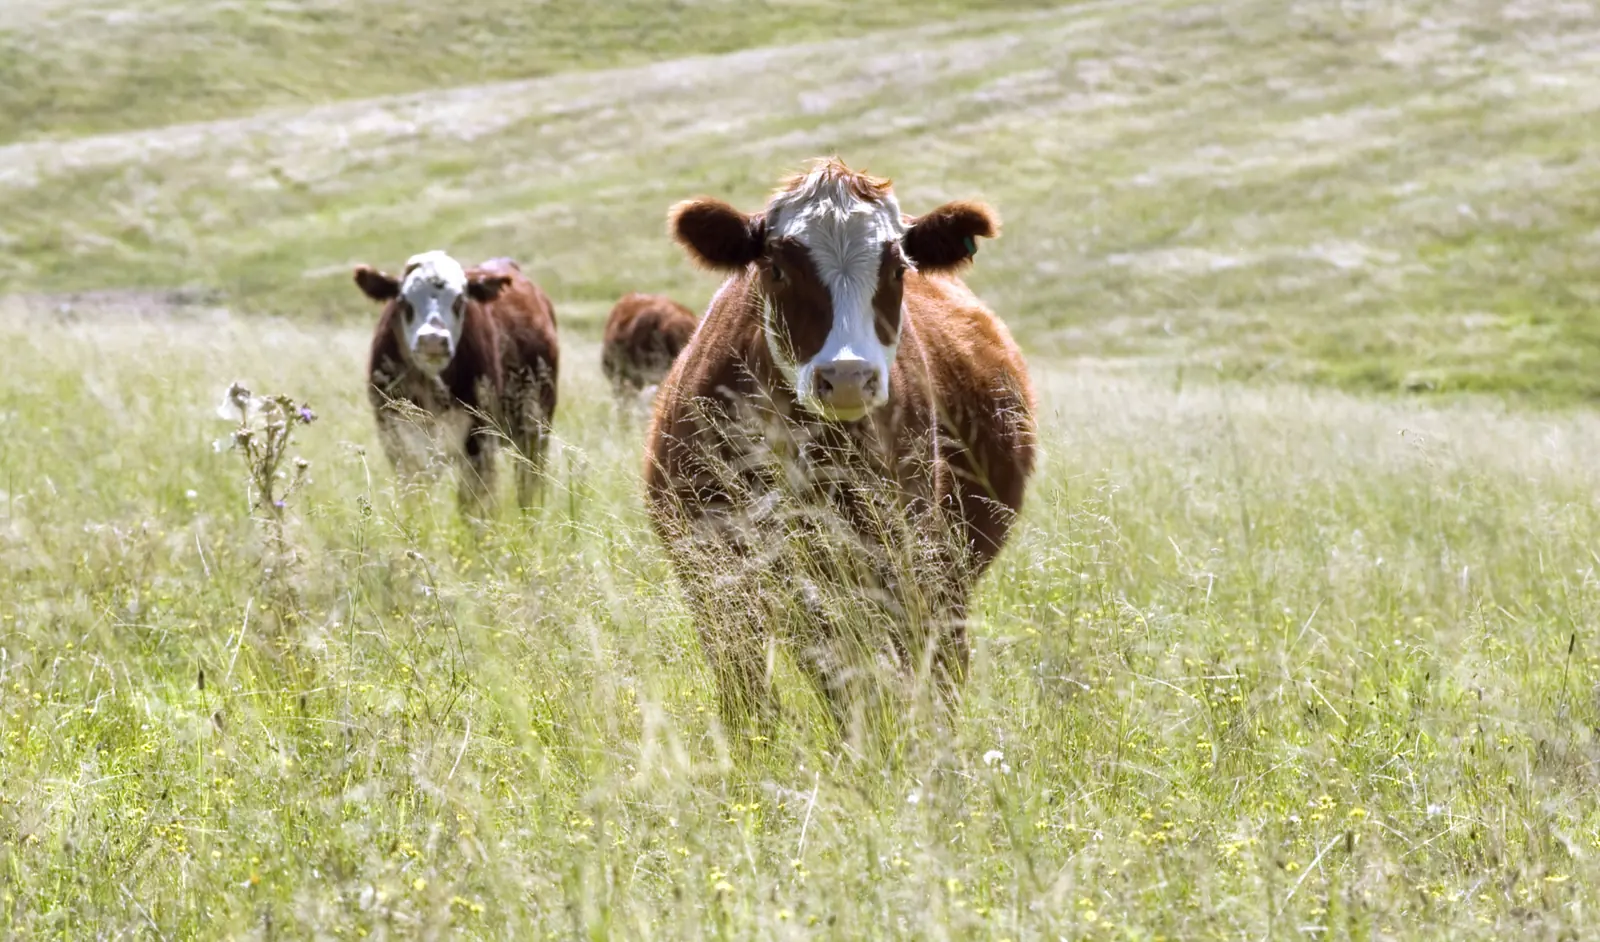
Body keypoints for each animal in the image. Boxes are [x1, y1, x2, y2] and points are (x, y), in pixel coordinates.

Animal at [354, 250, 559, 514]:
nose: (432, 339)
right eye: (404, 301)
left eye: (460, 301)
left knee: (529, 484)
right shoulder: (397, 441)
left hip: (536, 426)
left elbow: (473, 506)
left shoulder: (479, 440)